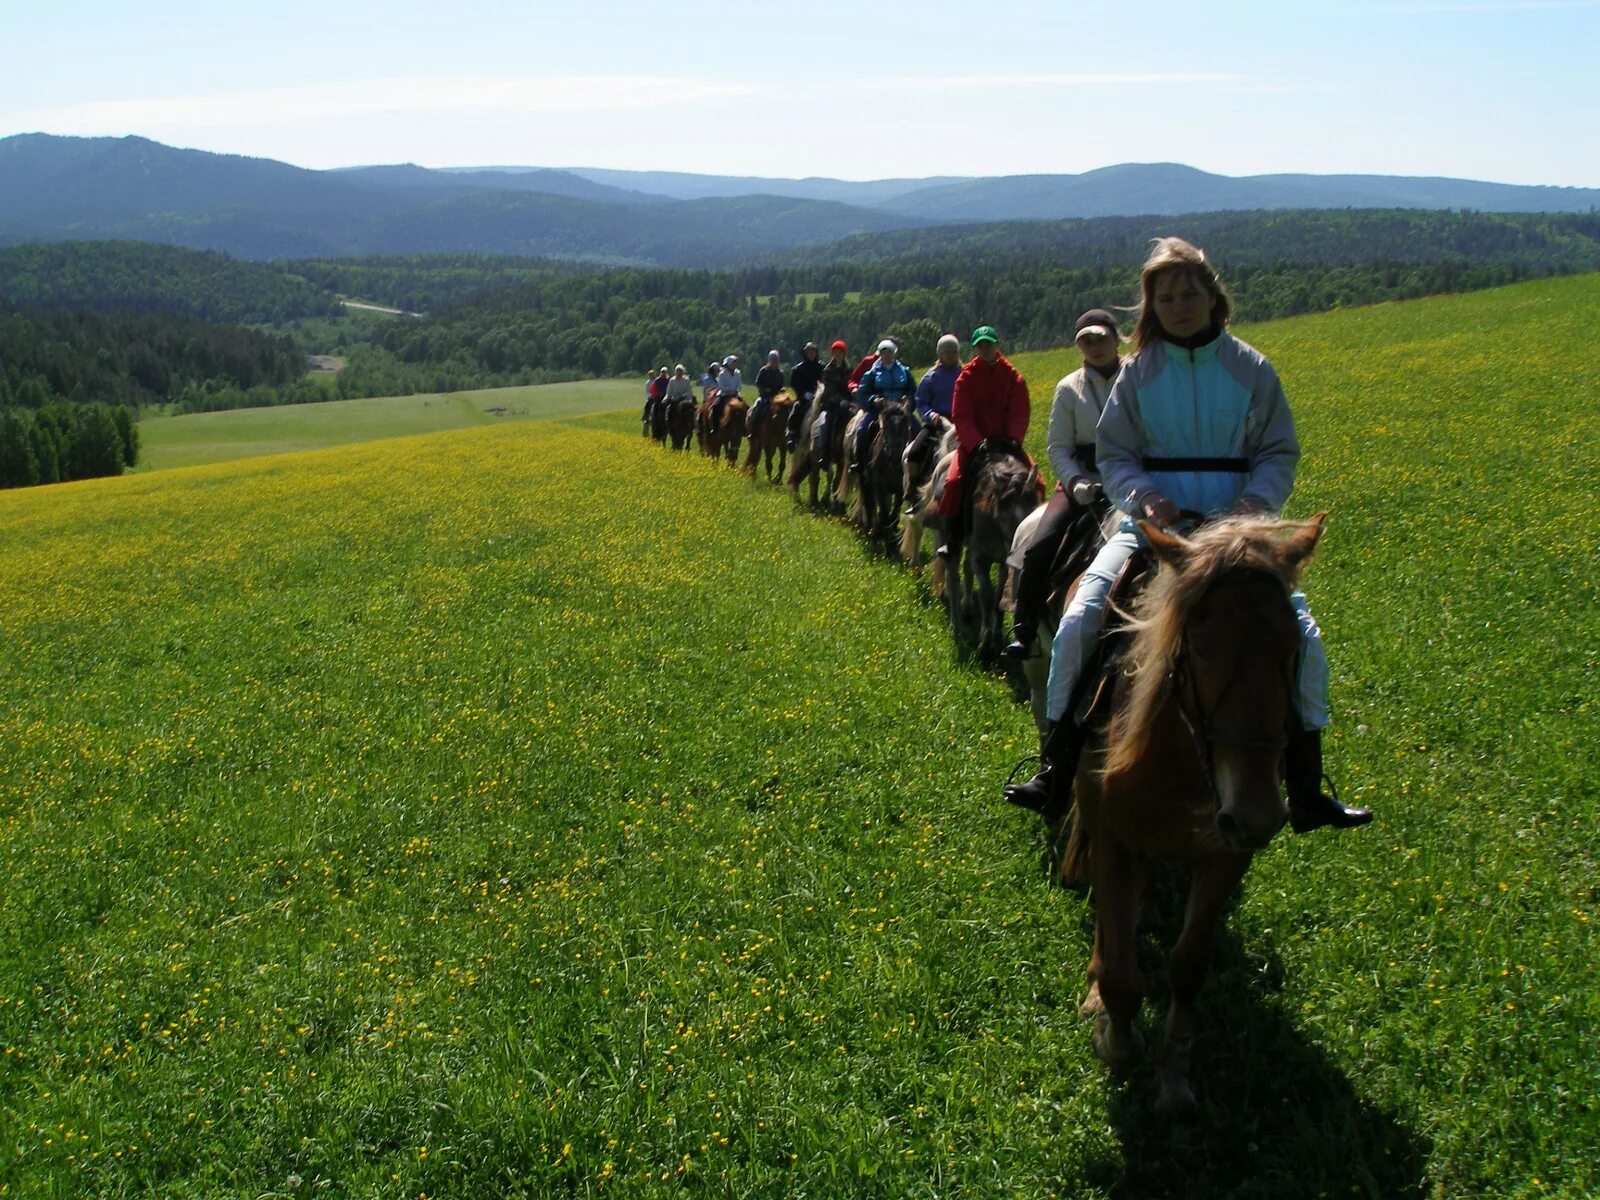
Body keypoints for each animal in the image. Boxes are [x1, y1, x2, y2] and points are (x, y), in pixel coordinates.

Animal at [1062, 518, 1324, 1120]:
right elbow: (1120, 972)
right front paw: (1115, 1036)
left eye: (1293, 649)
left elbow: (1189, 964)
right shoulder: (1113, 839)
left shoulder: (1227, 855)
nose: (1255, 814)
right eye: (1199, 648)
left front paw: (1176, 1076)